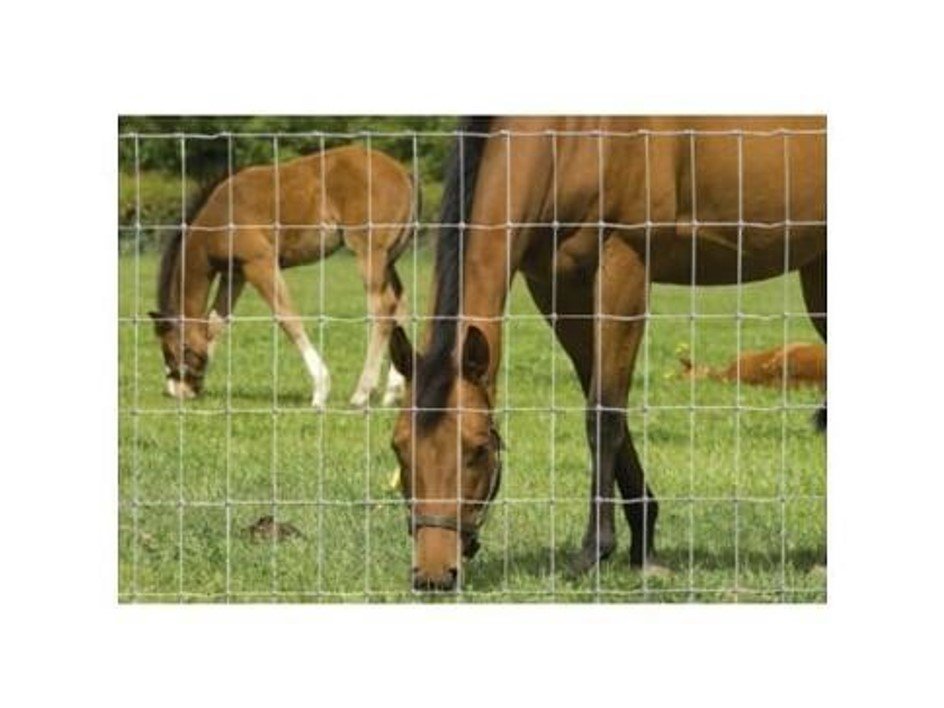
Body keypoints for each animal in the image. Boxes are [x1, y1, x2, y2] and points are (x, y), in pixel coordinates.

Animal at [149, 145, 416, 409]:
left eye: (171, 350)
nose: (177, 391)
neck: (219, 217)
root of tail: (405, 173)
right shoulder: (234, 274)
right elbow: (216, 322)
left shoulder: (259, 263)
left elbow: (287, 318)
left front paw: (320, 390)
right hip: (388, 260)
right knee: (400, 305)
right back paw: (393, 391)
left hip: (369, 253)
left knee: (383, 311)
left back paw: (361, 394)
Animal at [388, 116, 826, 591]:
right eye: (399, 448)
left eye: (479, 449)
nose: (434, 574)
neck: (573, 136)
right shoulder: (558, 286)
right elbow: (605, 404)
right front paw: (643, 546)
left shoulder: (624, 261)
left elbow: (603, 414)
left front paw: (592, 551)